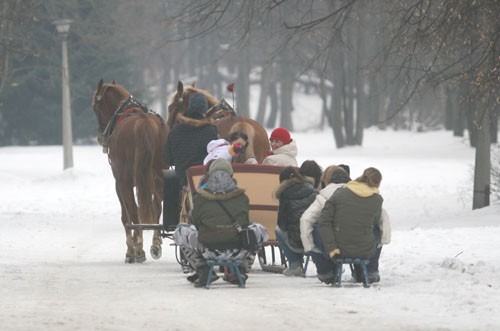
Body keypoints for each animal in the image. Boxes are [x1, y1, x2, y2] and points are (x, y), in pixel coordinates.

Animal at [93, 80, 170, 264]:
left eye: (95, 107)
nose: (100, 136)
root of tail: (144, 122)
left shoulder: (120, 183)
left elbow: (126, 216)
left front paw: (131, 249)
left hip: (126, 182)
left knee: (135, 212)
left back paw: (139, 249)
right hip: (159, 175)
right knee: (157, 207)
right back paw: (155, 243)